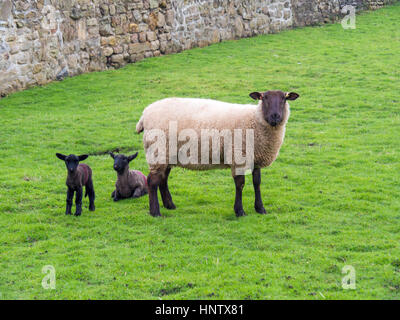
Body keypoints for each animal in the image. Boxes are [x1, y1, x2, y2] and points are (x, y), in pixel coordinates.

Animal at [136, 90, 298, 218]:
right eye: (264, 98)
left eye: (284, 98)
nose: (275, 116)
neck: (255, 120)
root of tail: (145, 114)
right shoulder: (237, 156)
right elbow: (240, 184)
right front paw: (239, 211)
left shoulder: (256, 157)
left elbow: (257, 183)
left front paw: (260, 208)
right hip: (158, 151)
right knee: (152, 181)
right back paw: (155, 212)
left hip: (168, 153)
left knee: (163, 179)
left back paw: (169, 205)